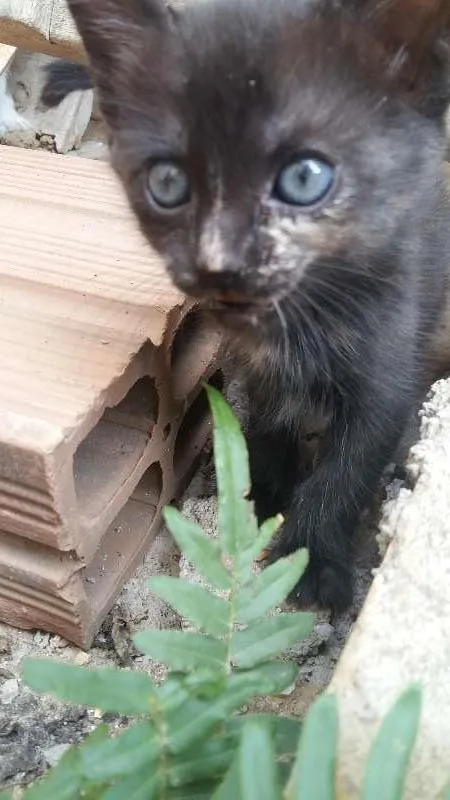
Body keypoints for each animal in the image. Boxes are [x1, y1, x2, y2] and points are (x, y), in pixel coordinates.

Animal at [47, 0, 448, 612]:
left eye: (305, 178)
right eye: (168, 181)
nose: (220, 264)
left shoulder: (390, 372)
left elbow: (349, 467)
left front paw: (312, 559)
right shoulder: (245, 360)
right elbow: (262, 423)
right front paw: (263, 496)